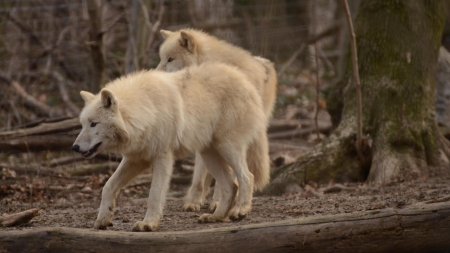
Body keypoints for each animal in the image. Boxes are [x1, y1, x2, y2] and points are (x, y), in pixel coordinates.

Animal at [71, 62, 266, 231]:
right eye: (83, 124)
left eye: (94, 124)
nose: (75, 147)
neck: (147, 110)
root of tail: (247, 82)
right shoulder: (135, 159)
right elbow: (108, 187)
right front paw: (103, 219)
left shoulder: (162, 157)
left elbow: (154, 194)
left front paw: (148, 224)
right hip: (209, 155)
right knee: (231, 185)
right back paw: (216, 217)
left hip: (227, 147)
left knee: (246, 177)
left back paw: (240, 210)